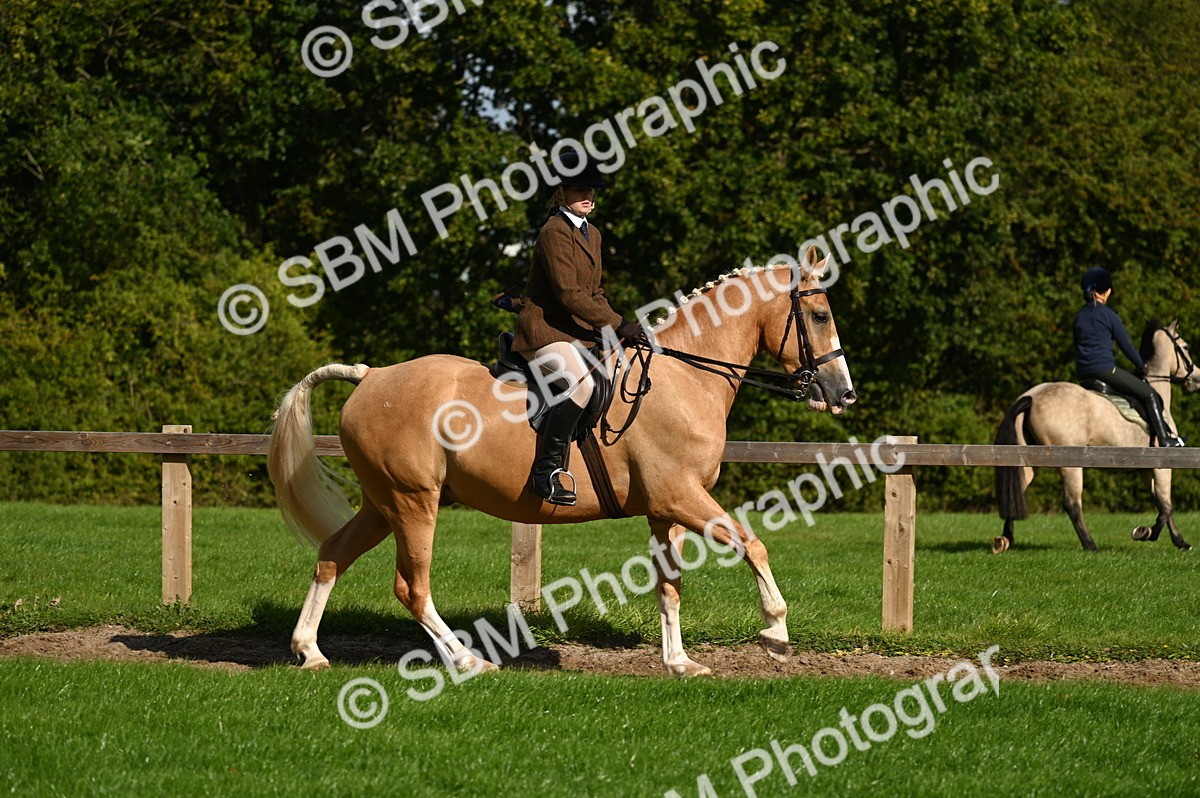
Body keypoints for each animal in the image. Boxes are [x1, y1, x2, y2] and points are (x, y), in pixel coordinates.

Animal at [267, 248, 856, 677]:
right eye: (820, 315)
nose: (843, 394)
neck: (685, 378)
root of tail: (370, 376)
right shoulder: (681, 497)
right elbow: (753, 544)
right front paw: (775, 633)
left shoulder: (666, 510)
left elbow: (670, 587)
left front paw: (680, 664)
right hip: (413, 504)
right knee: (411, 587)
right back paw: (468, 661)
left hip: (382, 503)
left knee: (332, 556)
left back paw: (310, 652)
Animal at [993, 320, 1199, 553]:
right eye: (1185, 347)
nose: (1197, 377)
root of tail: (1031, 397)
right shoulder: (1162, 466)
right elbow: (1166, 506)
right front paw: (1145, 533)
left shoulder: (1145, 469)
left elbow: (1162, 504)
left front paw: (1180, 541)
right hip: (1070, 464)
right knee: (1072, 504)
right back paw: (1090, 545)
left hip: (1027, 460)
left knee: (1016, 491)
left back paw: (1005, 539)